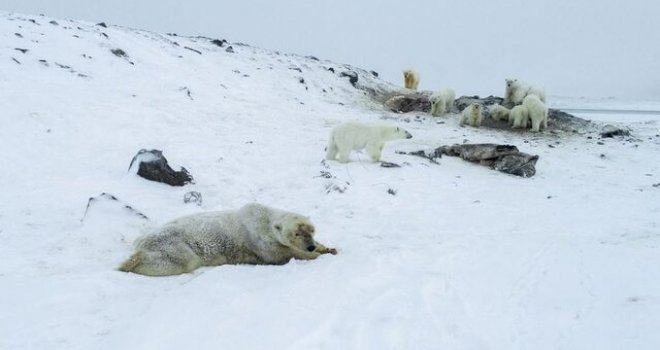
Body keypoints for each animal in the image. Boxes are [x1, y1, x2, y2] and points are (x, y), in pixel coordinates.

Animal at [116, 202, 338, 276]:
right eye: (296, 233)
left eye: (311, 231)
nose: (310, 246)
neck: (264, 219)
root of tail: (141, 243)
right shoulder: (260, 241)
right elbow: (281, 254)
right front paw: (314, 256)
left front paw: (328, 248)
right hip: (172, 245)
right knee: (180, 260)